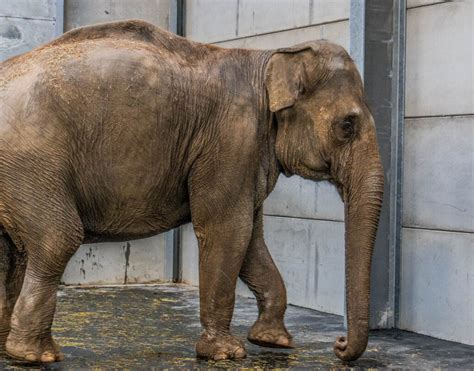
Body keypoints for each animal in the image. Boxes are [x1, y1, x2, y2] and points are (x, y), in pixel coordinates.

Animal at [0, 19, 386, 364]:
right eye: (347, 126)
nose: (338, 345)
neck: (271, 57)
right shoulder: (231, 140)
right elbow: (228, 230)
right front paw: (227, 354)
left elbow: (252, 240)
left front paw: (273, 341)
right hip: (32, 163)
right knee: (57, 238)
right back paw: (35, 355)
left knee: (15, 251)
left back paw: (9, 348)